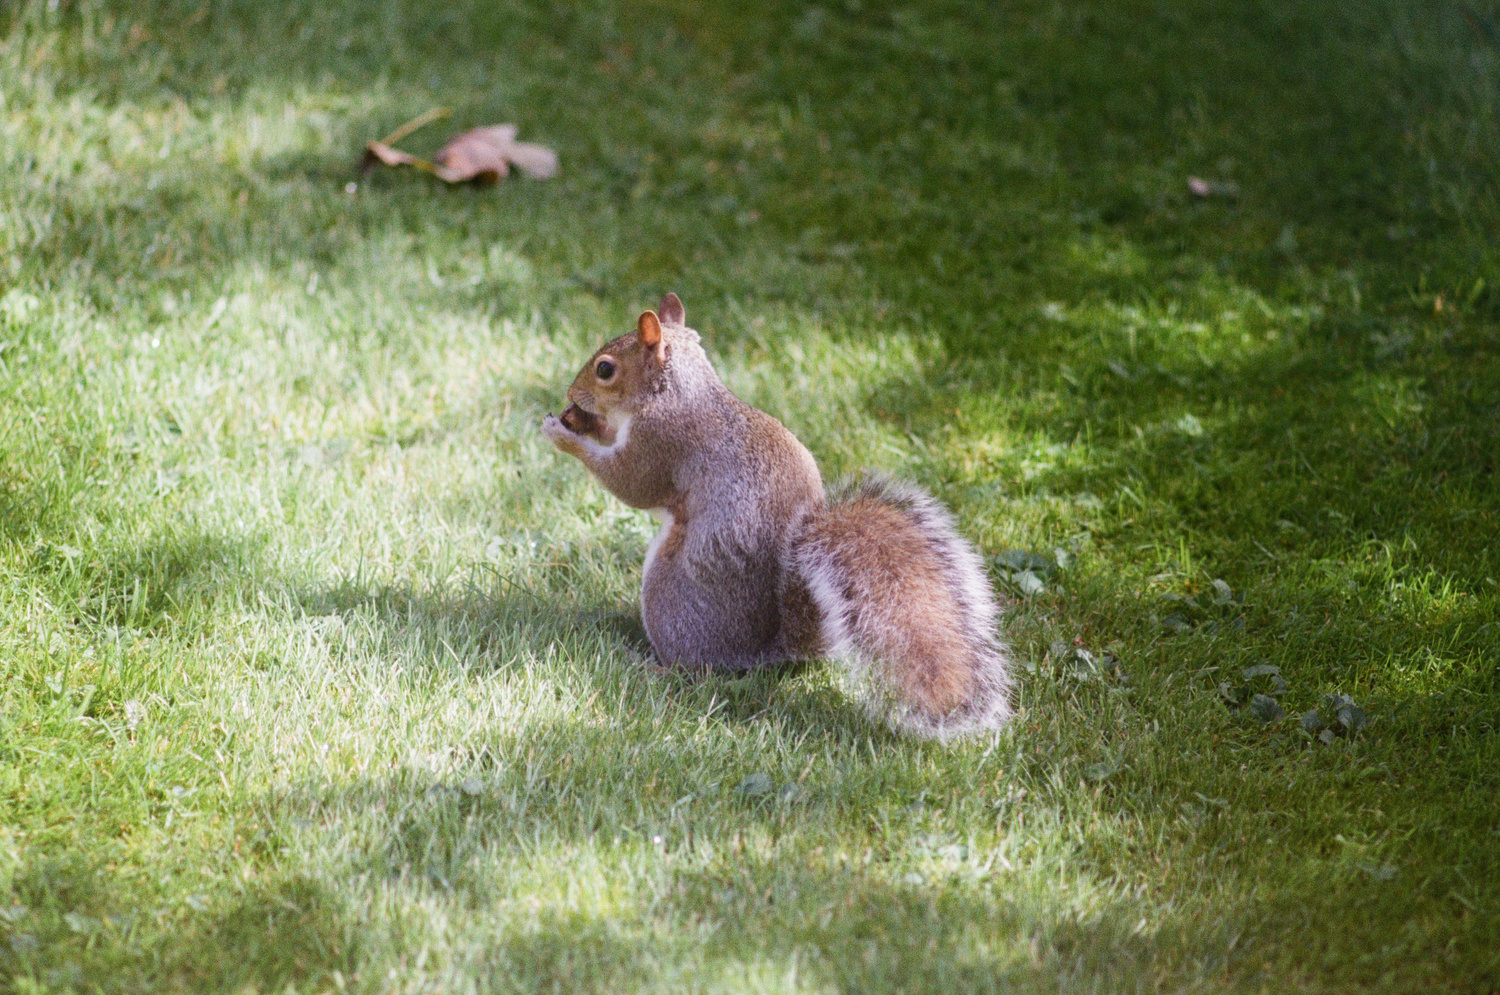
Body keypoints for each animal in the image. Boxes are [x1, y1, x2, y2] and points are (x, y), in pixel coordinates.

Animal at [541, 293, 1013, 740]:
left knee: (692, 669)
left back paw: (648, 664)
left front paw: (564, 436)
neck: (677, 391)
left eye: (605, 369)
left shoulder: (661, 443)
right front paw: (583, 424)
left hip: (668, 593)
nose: (571, 395)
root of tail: (763, 652)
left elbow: (629, 483)